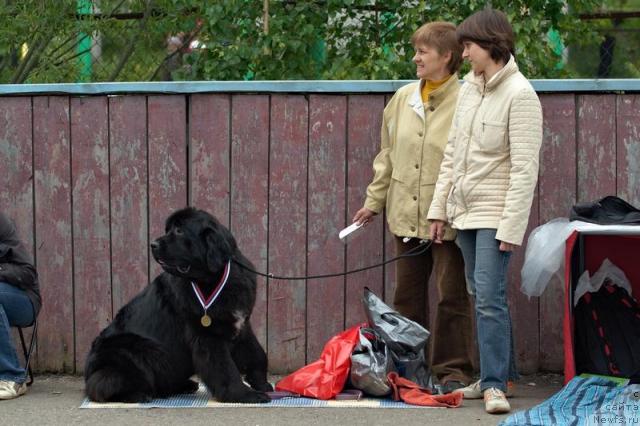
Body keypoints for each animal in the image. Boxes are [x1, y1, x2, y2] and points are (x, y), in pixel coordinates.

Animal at [85, 207, 272, 402]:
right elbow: (225, 368)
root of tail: (88, 371)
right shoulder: (207, 336)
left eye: (179, 231)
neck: (213, 279)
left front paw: (261, 383)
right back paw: (139, 395)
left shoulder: (241, 324)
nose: (153, 244)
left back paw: (185, 385)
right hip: (136, 350)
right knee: (103, 385)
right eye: (168, 230)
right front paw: (245, 394)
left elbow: (256, 353)